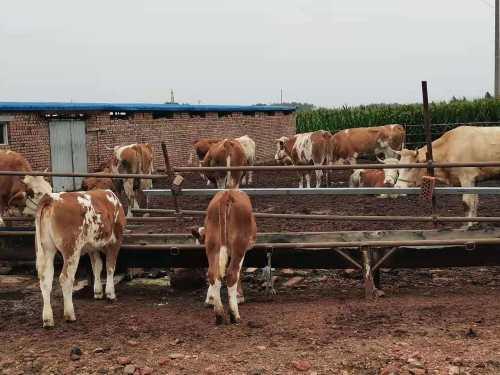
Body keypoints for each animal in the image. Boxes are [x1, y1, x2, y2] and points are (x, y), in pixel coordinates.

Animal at [35, 189, 125, 328]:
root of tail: (51, 198)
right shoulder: (115, 241)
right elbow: (110, 266)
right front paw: (110, 294)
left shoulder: (92, 247)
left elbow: (97, 267)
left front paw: (98, 292)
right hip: (72, 250)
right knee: (65, 278)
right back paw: (70, 315)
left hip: (46, 249)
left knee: (45, 279)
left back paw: (48, 319)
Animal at [189, 191, 256, 326]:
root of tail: (227, 194)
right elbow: (239, 273)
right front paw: (239, 297)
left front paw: (210, 299)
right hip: (239, 245)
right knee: (232, 274)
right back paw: (235, 316)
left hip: (213, 245)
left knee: (213, 274)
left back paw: (219, 314)